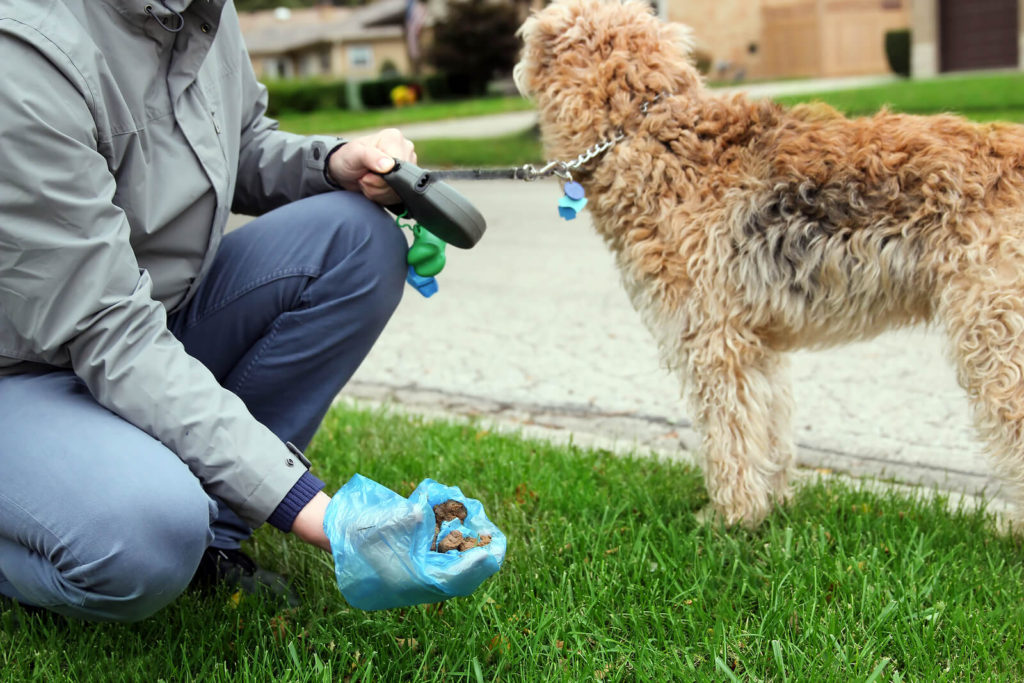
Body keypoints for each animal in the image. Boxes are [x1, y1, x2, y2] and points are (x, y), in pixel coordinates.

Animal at [516, 0, 1024, 528]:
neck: (644, 133)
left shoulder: (713, 339)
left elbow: (728, 433)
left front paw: (729, 518)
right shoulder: (759, 341)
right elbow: (769, 427)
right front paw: (772, 504)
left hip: (994, 330)